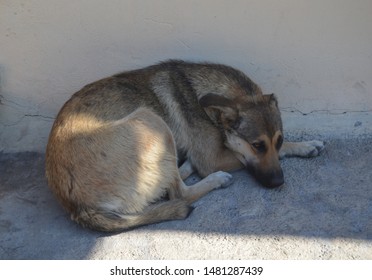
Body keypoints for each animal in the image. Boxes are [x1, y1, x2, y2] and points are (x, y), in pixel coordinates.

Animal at [45, 60, 322, 232]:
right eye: (257, 145)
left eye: (278, 139)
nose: (278, 183)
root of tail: (77, 206)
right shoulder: (213, 158)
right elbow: (233, 158)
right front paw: (302, 146)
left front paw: (305, 145)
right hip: (151, 120)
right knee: (179, 193)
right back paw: (215, 179)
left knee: (171, 177)